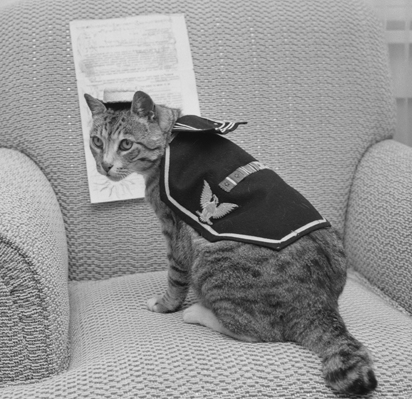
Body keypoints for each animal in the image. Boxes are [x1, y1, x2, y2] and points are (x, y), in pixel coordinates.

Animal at [85, 91, 378, 396]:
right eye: (96, 141)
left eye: (126, 144)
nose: (104, 165)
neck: (171, 136)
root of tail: (321, 306)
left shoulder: (173, 230)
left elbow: (175, 278)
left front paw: (166, 304)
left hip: (211, 259)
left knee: (257, 331)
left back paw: (197, 312)